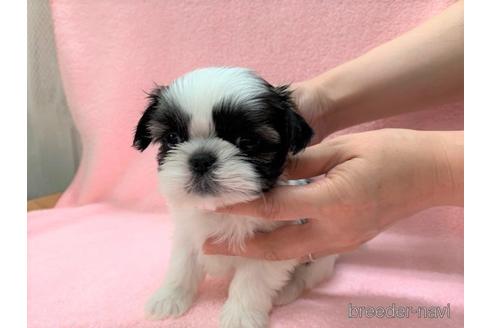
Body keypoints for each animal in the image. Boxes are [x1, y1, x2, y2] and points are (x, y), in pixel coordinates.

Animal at [133, 67, 336, 328]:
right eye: (172, 138)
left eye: (247, 141)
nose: (201, 159)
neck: (222, 208)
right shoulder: (187, 234)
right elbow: (181, 266)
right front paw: (168, 298)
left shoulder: (270, 247)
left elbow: (251, 282)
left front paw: (240, 317)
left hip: (323, 254)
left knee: (310, 275)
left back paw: (287, 291)